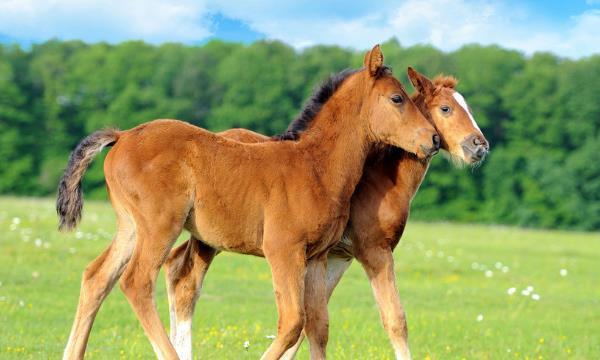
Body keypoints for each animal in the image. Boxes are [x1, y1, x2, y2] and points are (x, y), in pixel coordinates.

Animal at [57, 45, 440, 360]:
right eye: (397, 99)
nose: (433, 139)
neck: (315, 166)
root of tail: (122, 135)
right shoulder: (283, 250)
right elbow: (292, 322)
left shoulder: (316, 256)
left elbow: (314, 324)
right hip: (159, 226)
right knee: (136, 283)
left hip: (130, 227)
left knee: (96, 278)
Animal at [164, 66, 488, 358]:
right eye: (446, 108)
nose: (480, 146)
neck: (378, 178)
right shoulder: (374, 251)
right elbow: (395, 320)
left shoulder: (335, 257)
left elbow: (311, 324)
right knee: (185, 282)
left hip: (206, 237)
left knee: (177, 269)